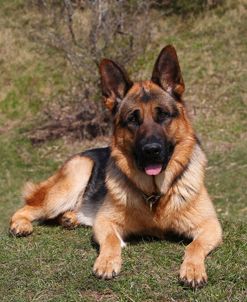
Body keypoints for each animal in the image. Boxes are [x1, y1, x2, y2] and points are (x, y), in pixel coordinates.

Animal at [9, 44, 222, 288]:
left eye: (163, 115)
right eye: (132, 119)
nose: (152, 150)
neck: (155, 195)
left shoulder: (211, 225)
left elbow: (194, 245)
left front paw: (193, 269)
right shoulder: (105, 222)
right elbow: (111, 240)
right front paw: (107, 262)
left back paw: (70, 218)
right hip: (75, 176)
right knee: (28, 207)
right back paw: (21, 224)